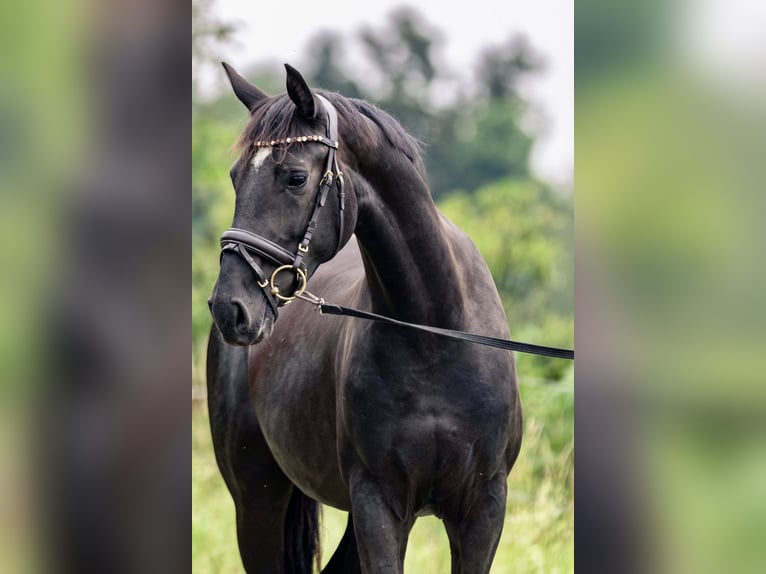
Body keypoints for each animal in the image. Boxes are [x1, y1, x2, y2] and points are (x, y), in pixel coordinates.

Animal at [207, 64, 524, 574]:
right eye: (237, 177)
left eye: (296, 177)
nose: (229, 308)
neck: (434, 334)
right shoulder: (379, 503)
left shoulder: (482, 508)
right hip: (256, 501)